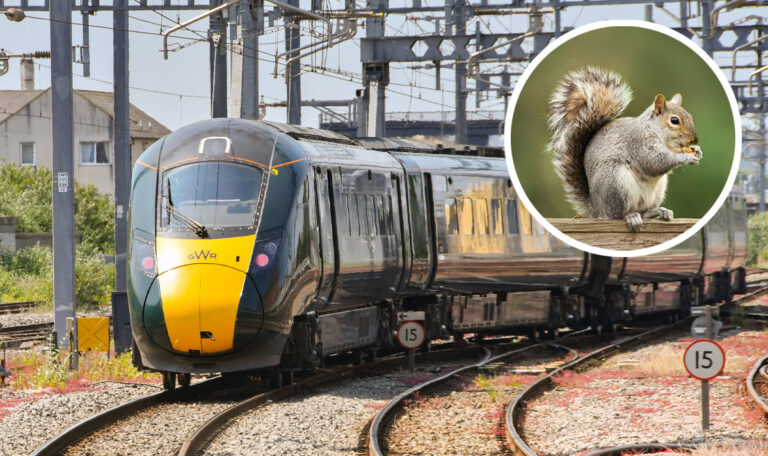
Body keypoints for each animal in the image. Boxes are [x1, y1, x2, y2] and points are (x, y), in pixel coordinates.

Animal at [547, 67, 702, 232]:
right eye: (674, 120)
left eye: (690, 117)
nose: (694, 140)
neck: (660, 136)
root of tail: (597, 209)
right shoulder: (638, 143)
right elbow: (653, 163)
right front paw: (686, 157)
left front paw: (697, 150)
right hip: (616, 182)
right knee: (617, 214)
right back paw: (630, 217)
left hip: (656, 190)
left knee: (644, 212)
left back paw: (658, 211)